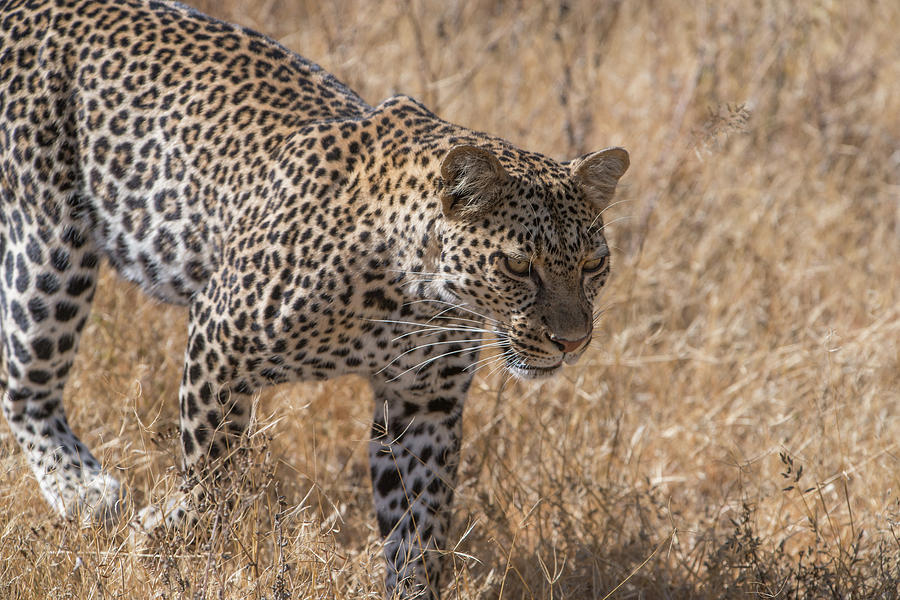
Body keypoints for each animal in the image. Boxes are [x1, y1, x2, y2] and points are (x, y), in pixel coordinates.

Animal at [0, 0, 628, 596]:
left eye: (593, 265)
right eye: (520, 267)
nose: (573, 342)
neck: (417, 296)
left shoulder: (424, 404)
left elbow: (420, 526)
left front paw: (413, 586)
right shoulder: (219, 335)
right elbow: (212, 472)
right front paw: (166, 539)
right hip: (49, 248)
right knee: (24, 384)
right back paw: (82, 490)